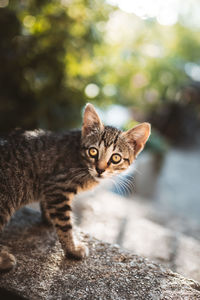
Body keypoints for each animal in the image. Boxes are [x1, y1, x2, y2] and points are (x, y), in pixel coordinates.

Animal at [0, 103, 150, 270]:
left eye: (116, 158)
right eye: (93, 151)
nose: (100, 169)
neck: (81, 160)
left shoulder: (50, 189)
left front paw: (49, 219)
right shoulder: (57, 186)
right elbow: (65, 224)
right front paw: (72, 249)